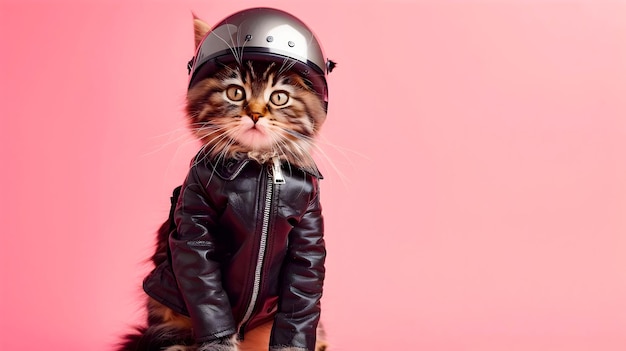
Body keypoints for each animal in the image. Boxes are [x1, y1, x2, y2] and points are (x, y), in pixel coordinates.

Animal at [119, 13, 330, 351]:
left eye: (279, 98)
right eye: (236, 93)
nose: (255, 114)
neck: (259, 167)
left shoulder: (309, 230)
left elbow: (302, 296)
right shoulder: (195, 223)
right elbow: (208, 295)